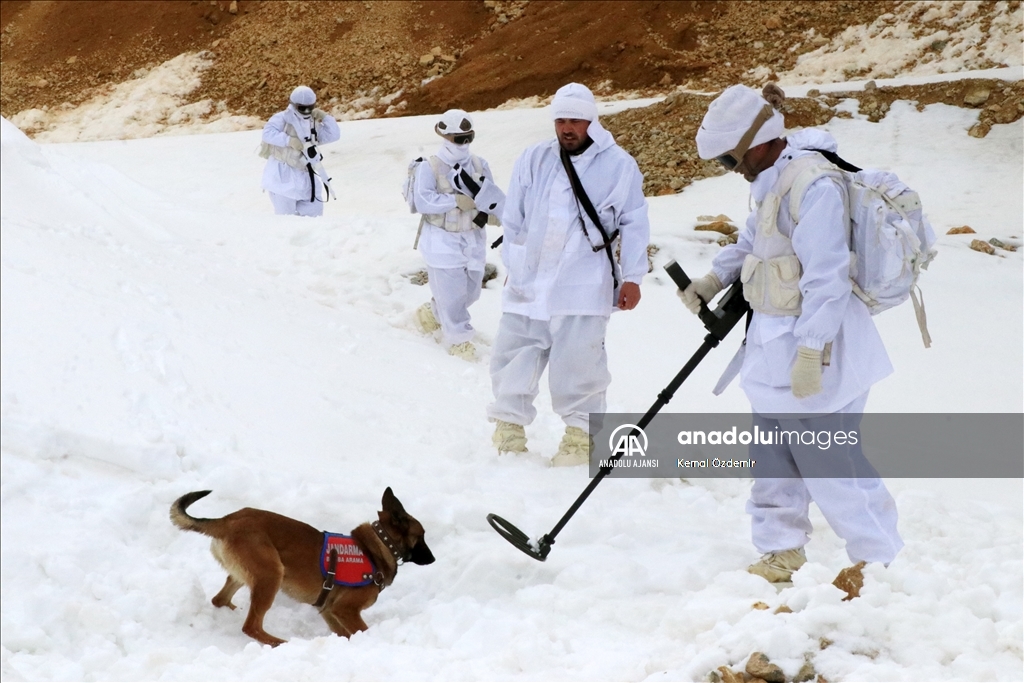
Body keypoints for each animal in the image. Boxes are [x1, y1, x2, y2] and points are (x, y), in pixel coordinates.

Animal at [170, 487, 434, 646]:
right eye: (421, 536)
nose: (432, 559)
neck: (377, 547)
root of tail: (227, 520)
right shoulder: (345, 610)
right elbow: (362, 631)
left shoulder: (330, 611)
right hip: (272, 575)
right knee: (251, 626)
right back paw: (279, 643)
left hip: (247, 575)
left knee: (221, 600)